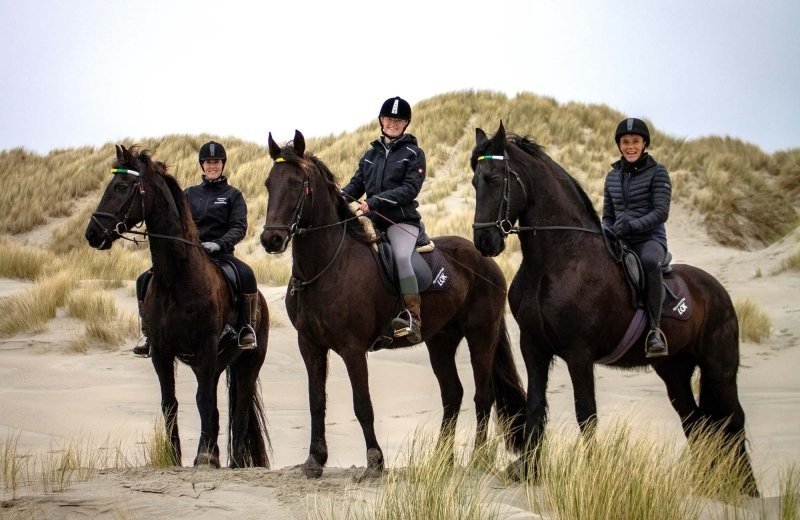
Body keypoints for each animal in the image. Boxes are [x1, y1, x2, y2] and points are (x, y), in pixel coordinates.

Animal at [85, 145, 272, 468]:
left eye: (122, 186)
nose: (93, 234)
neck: (177, 277)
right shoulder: (161, 352)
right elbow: (170, 403)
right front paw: (175, 458)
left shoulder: (205, 346)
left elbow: (203, 401)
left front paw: (204, 456)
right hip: (215, 363)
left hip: (248, 360)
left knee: (239, 408)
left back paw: (235, 461)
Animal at [260, 130, 528, 480]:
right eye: (269, 183)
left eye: (296, 183)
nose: (272, 240)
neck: (327, 266)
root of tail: (485, 259)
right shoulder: (310, 345)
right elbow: (316, 401)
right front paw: (314, 460)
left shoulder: (352, 348)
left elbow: (362, 404)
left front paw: (375, 461)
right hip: (441, 340)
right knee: (452, 395)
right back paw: (441, 460)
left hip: (481, 335)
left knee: (483, 395)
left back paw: (478, 459)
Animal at [472, 121, 760, 496]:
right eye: (474, 181)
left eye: (494, 179)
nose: (484, 242)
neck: (558, 259)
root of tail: (717, 290)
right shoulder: (533, 347)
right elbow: (535, 407)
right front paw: (529, 471)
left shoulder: (578, 353)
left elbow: (586, 413)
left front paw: (591, 476)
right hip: (674, 369)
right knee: (695, 421)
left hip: (719, 367)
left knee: (733, 419)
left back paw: (749, 490)